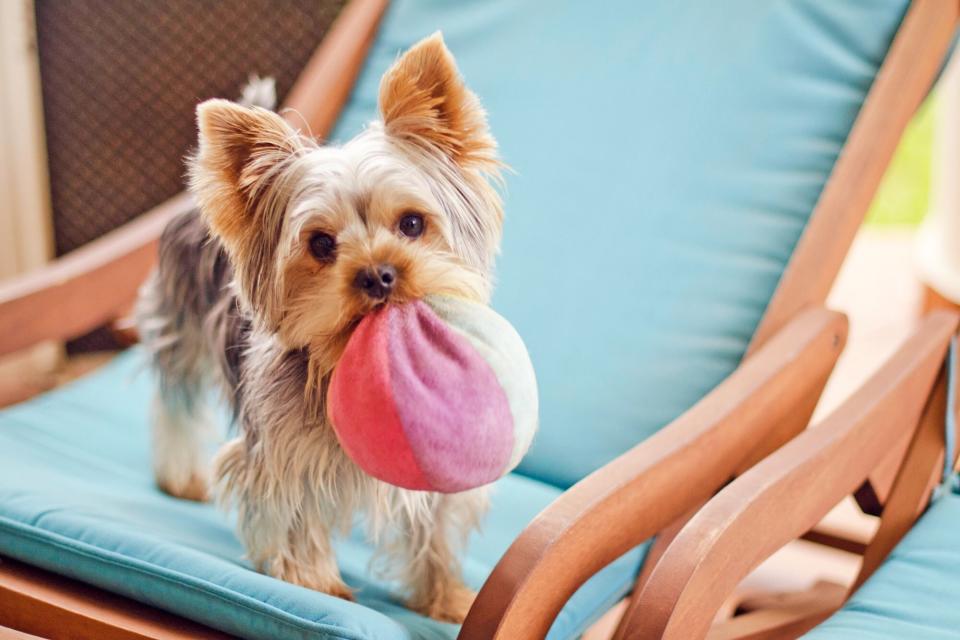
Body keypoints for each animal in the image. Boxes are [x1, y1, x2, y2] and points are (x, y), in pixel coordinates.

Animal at [138, 32, 506, 624]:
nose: (378, 274)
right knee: (175, 402)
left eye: (412, 223)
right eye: (320, 244)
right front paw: (314, 584)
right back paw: (180, 477)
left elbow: (435, 526)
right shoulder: (283, 451)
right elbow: (293, 511)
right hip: (179, 320)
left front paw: (446, 597)